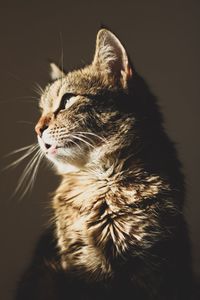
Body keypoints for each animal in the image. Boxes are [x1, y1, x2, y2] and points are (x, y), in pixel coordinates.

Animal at [14, 28, 194, 300]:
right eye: (42, 109)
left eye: (67, 100)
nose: (37, 129)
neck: (102, 182)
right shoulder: (77, 266)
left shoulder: (153, 269)